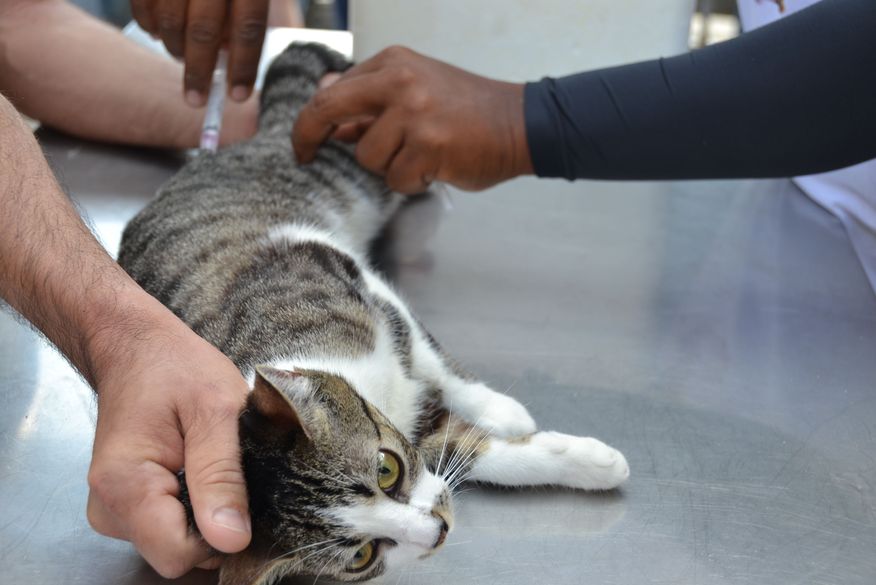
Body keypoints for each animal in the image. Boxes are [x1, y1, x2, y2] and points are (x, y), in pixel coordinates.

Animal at [118, 42, 628, 584]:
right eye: (362, 555)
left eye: (386, 469)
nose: (437, 530)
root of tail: (260, 139)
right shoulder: (417, 433)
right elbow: (466, 450)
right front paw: (589, 462)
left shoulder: (347, 274)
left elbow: (433, 358)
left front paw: (500, 410)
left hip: (354, 157)